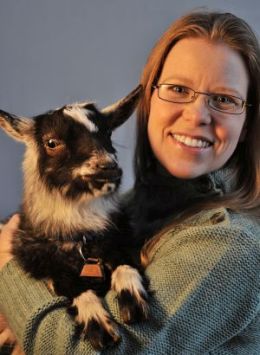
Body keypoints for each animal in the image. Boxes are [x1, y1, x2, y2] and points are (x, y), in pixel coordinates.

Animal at [0, 85, 148, 350]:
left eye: (107, 132)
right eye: (51, 142)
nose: (108, 167)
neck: (82, 237)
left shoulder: (117, 239)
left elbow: (124, 261)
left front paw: (133, 302)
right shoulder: (40, 265)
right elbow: (70, 285)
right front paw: (99, 327)